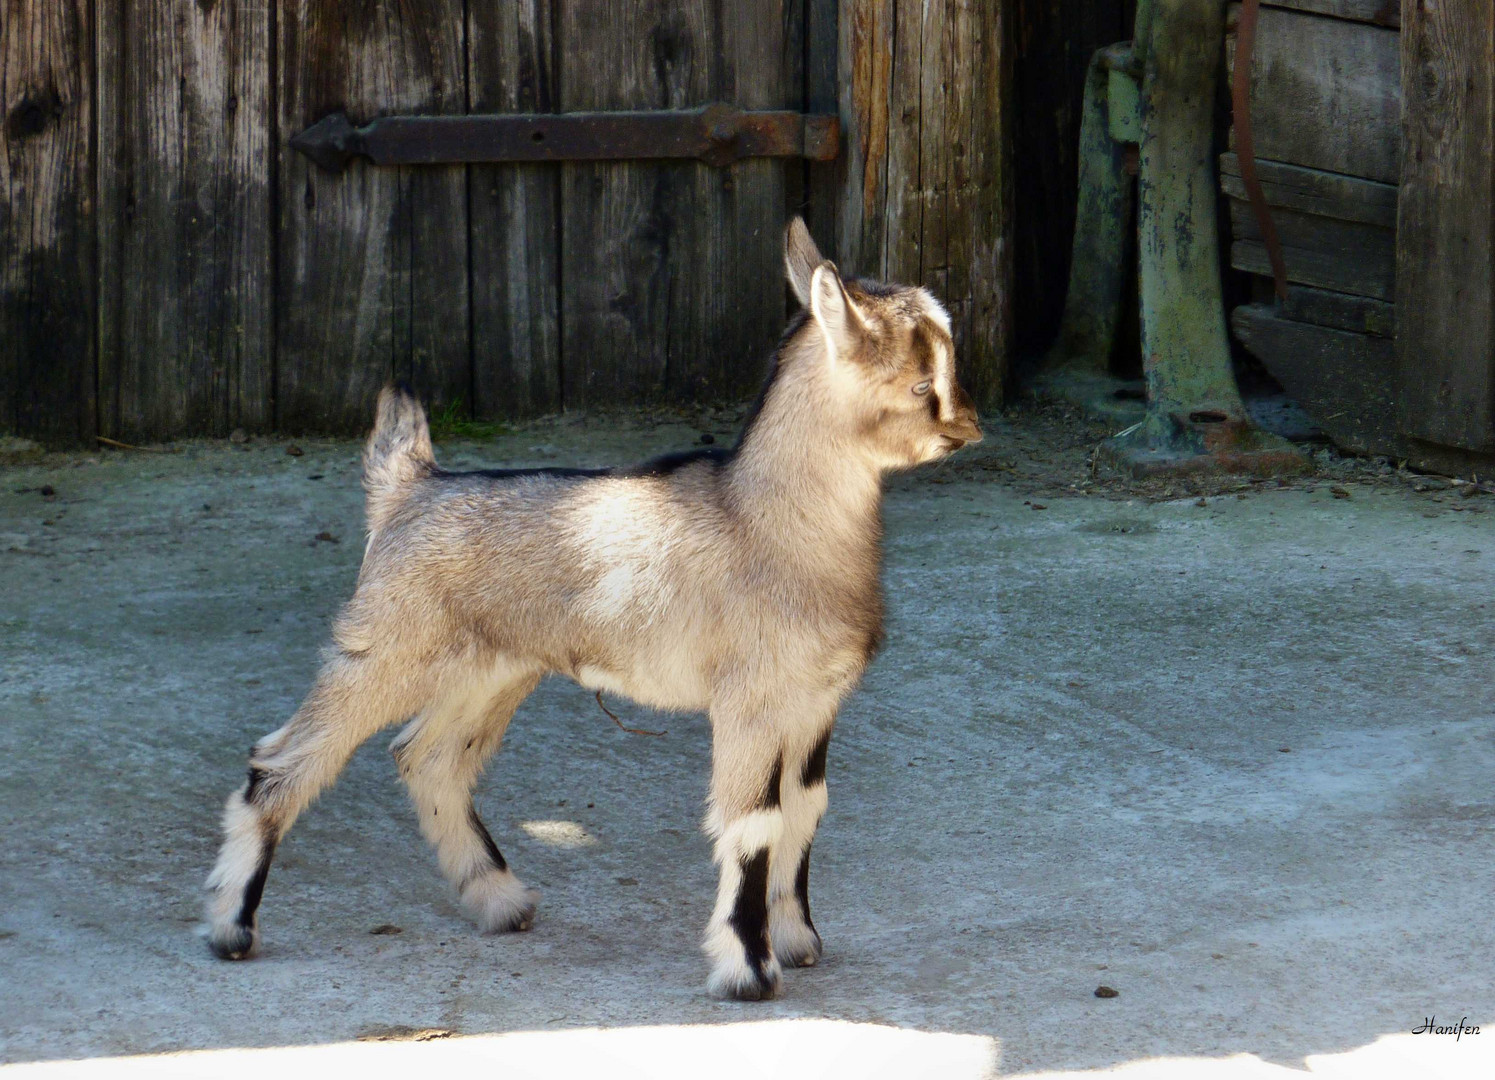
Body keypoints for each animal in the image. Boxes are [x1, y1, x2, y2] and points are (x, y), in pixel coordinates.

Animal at [207, 213, 980, 999]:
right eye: (921, 382)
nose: (967, 431)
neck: (767, 520)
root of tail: (409, 488)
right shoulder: (753, 701)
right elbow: (754, 823)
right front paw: (749, 971)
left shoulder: (814, 703)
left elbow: (803, 812)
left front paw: (796, 941)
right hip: (386, 649)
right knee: (281, 761)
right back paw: (231, 927)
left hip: (490, 671)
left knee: (428, 759)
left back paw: (500, 900)